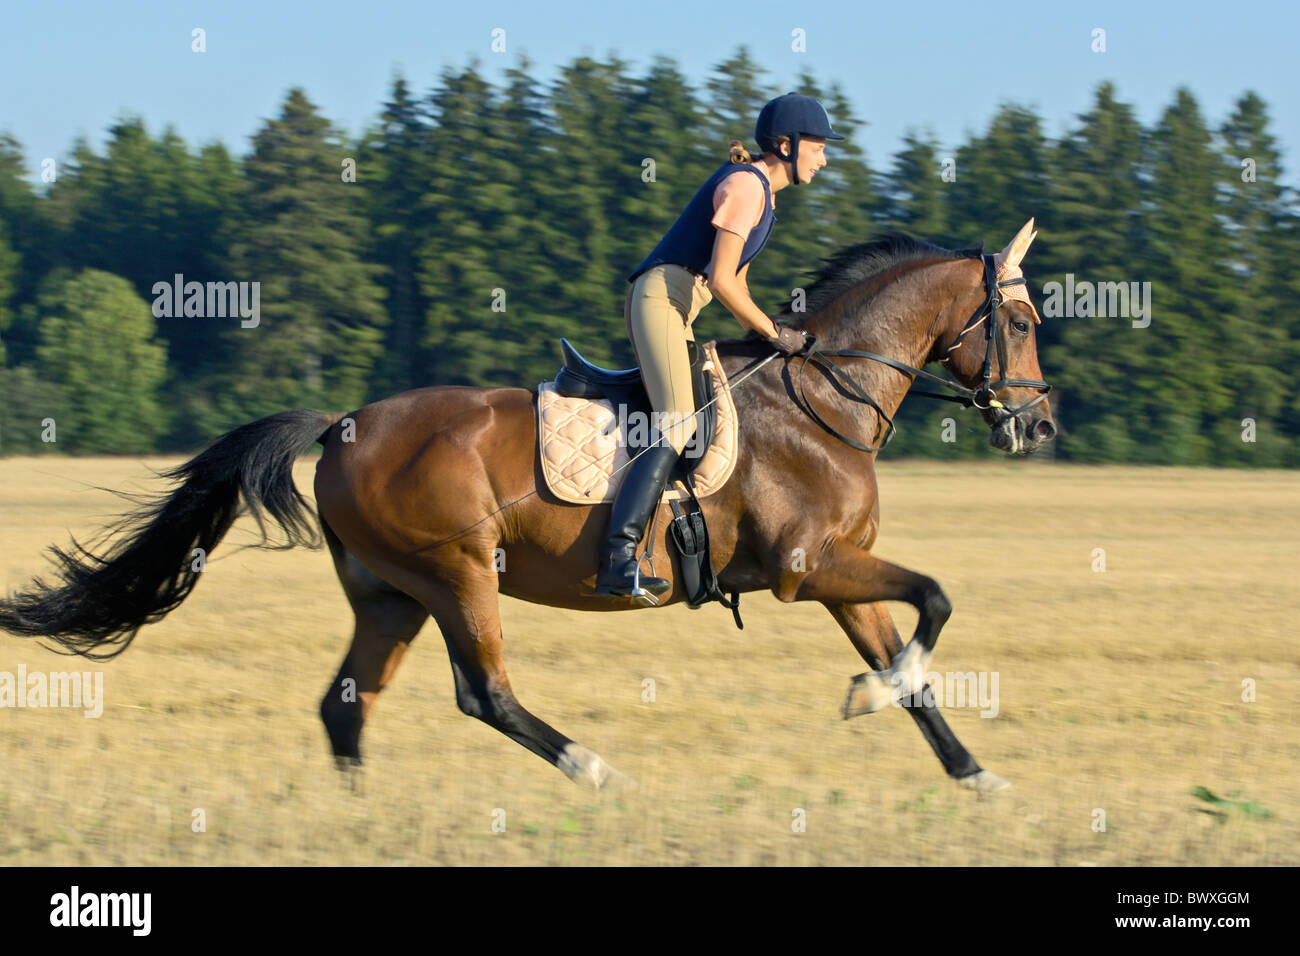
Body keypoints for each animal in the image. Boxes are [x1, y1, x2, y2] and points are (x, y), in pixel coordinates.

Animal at [0, 222, 1055, 790]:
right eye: (1022, 319)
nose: (1038, 427)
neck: (824, 396)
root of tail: (341, 423)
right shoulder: (811, 568)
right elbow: (937, 600)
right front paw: (871, 700)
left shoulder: (839, 574)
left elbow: (915, 664)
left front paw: (974, 775)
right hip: (458, 573)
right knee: (486, 693)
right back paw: (597, 770)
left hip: (390, 594)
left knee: (348, 704)